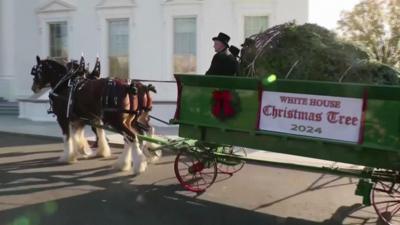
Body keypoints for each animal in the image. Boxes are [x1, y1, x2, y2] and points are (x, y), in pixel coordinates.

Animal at [29, 56, 157, 174]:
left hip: (117, 122)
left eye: (37, 71)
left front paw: (68, 156)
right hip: (130, 120)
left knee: (132, 137)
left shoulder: (63, 117)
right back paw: (132, 160)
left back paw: (138, 164)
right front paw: (85, 149)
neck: (66, 84)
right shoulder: (82, 118)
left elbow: (68, 137)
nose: (33, 88)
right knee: (139, 135)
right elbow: (82, 134)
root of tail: (130, 87)